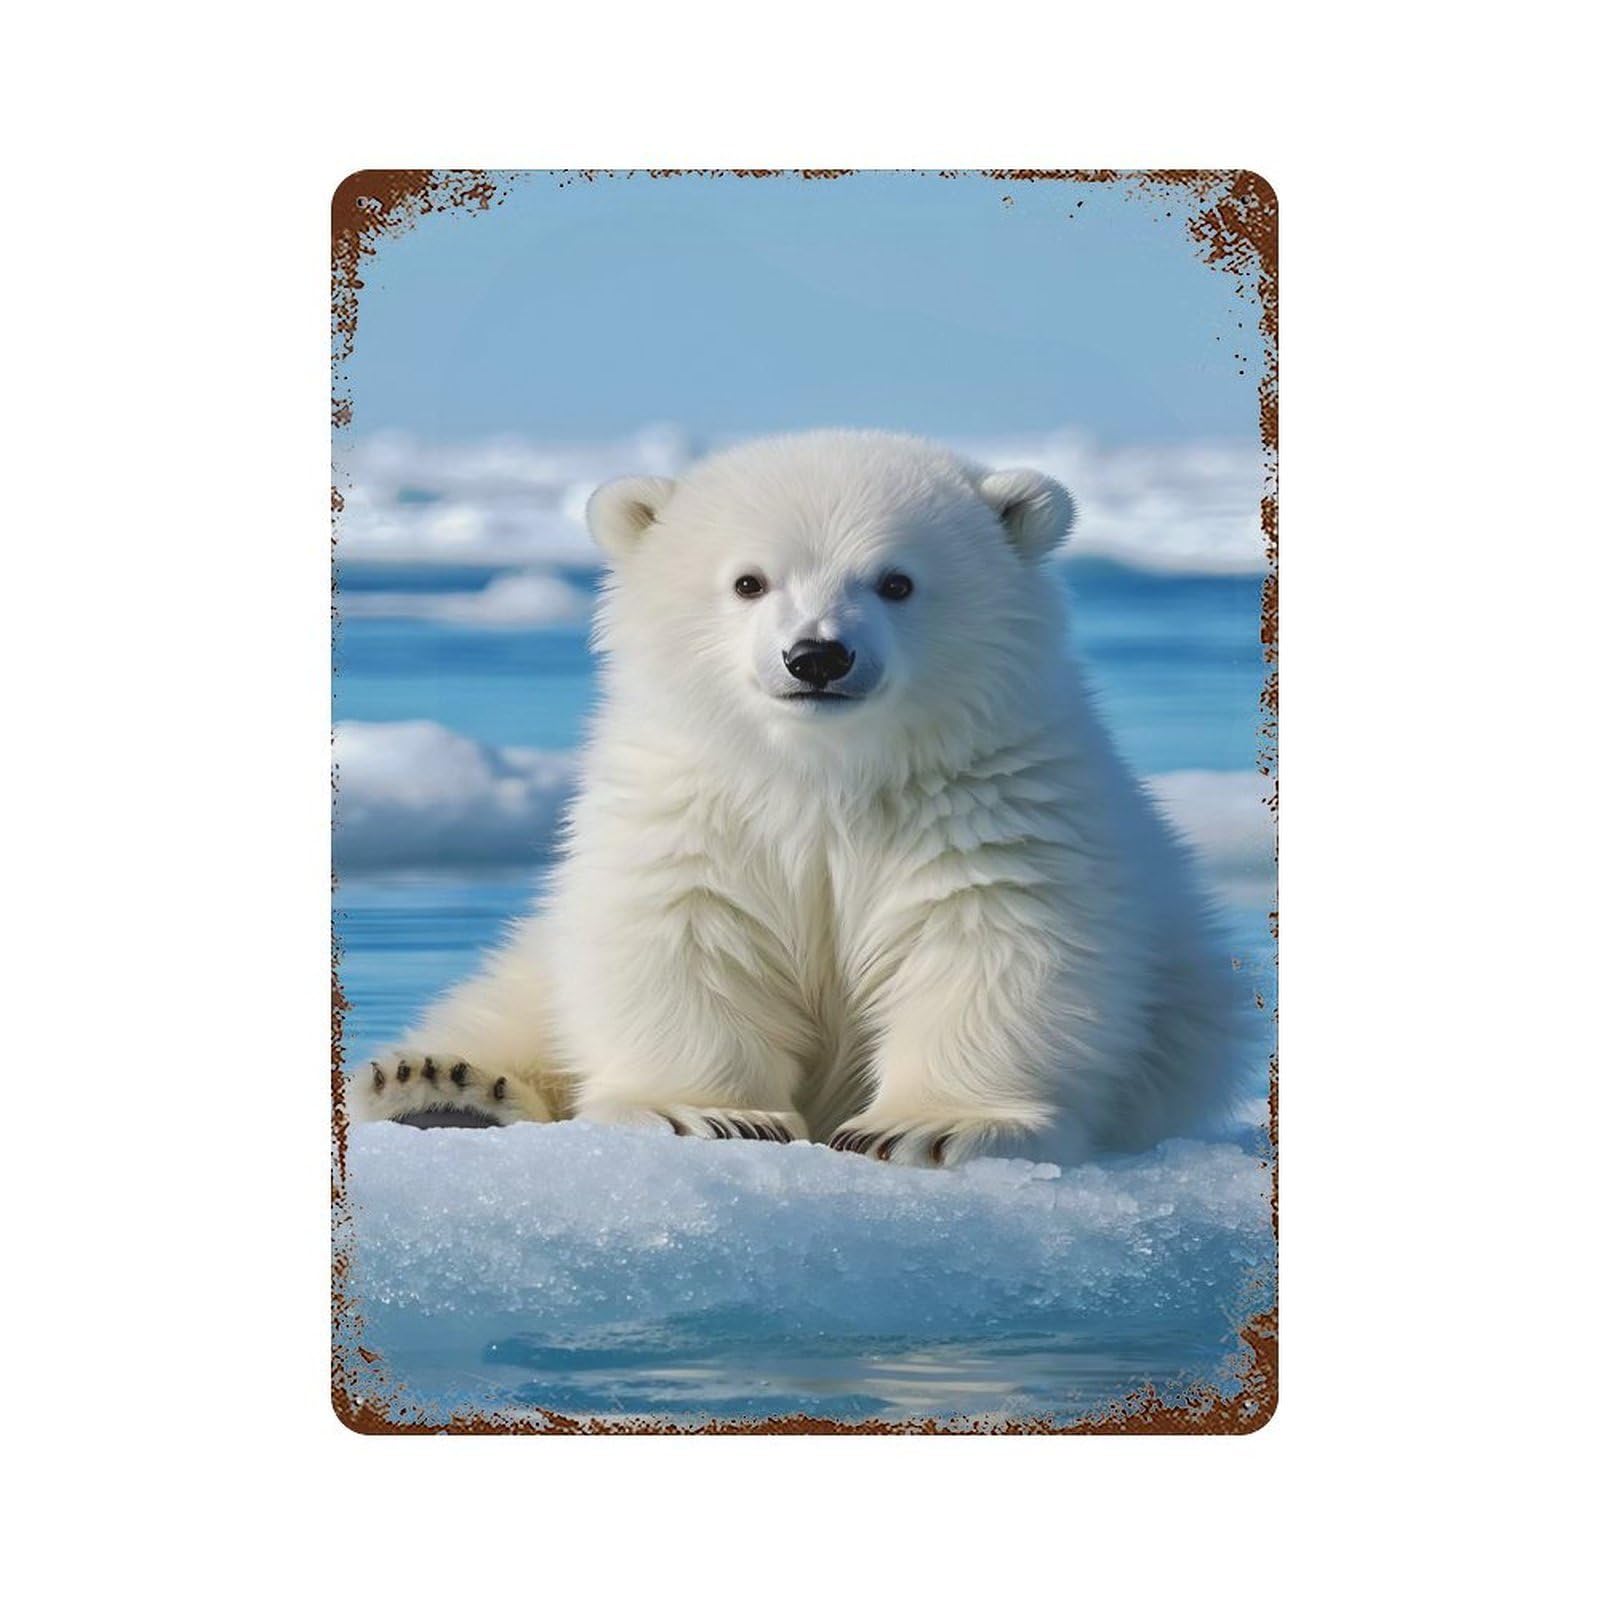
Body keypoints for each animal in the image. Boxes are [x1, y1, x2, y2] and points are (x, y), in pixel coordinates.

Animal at [347, 429, 1241, 1166]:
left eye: (896, 581)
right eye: (750, 581)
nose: (817, 656)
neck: (825, 776)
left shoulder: (990, 804)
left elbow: (991, 942)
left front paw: (930, 1124)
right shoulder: (700, 808)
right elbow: (681, 934)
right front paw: (707, 1113)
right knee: (513, 997)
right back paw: (438, 1085)